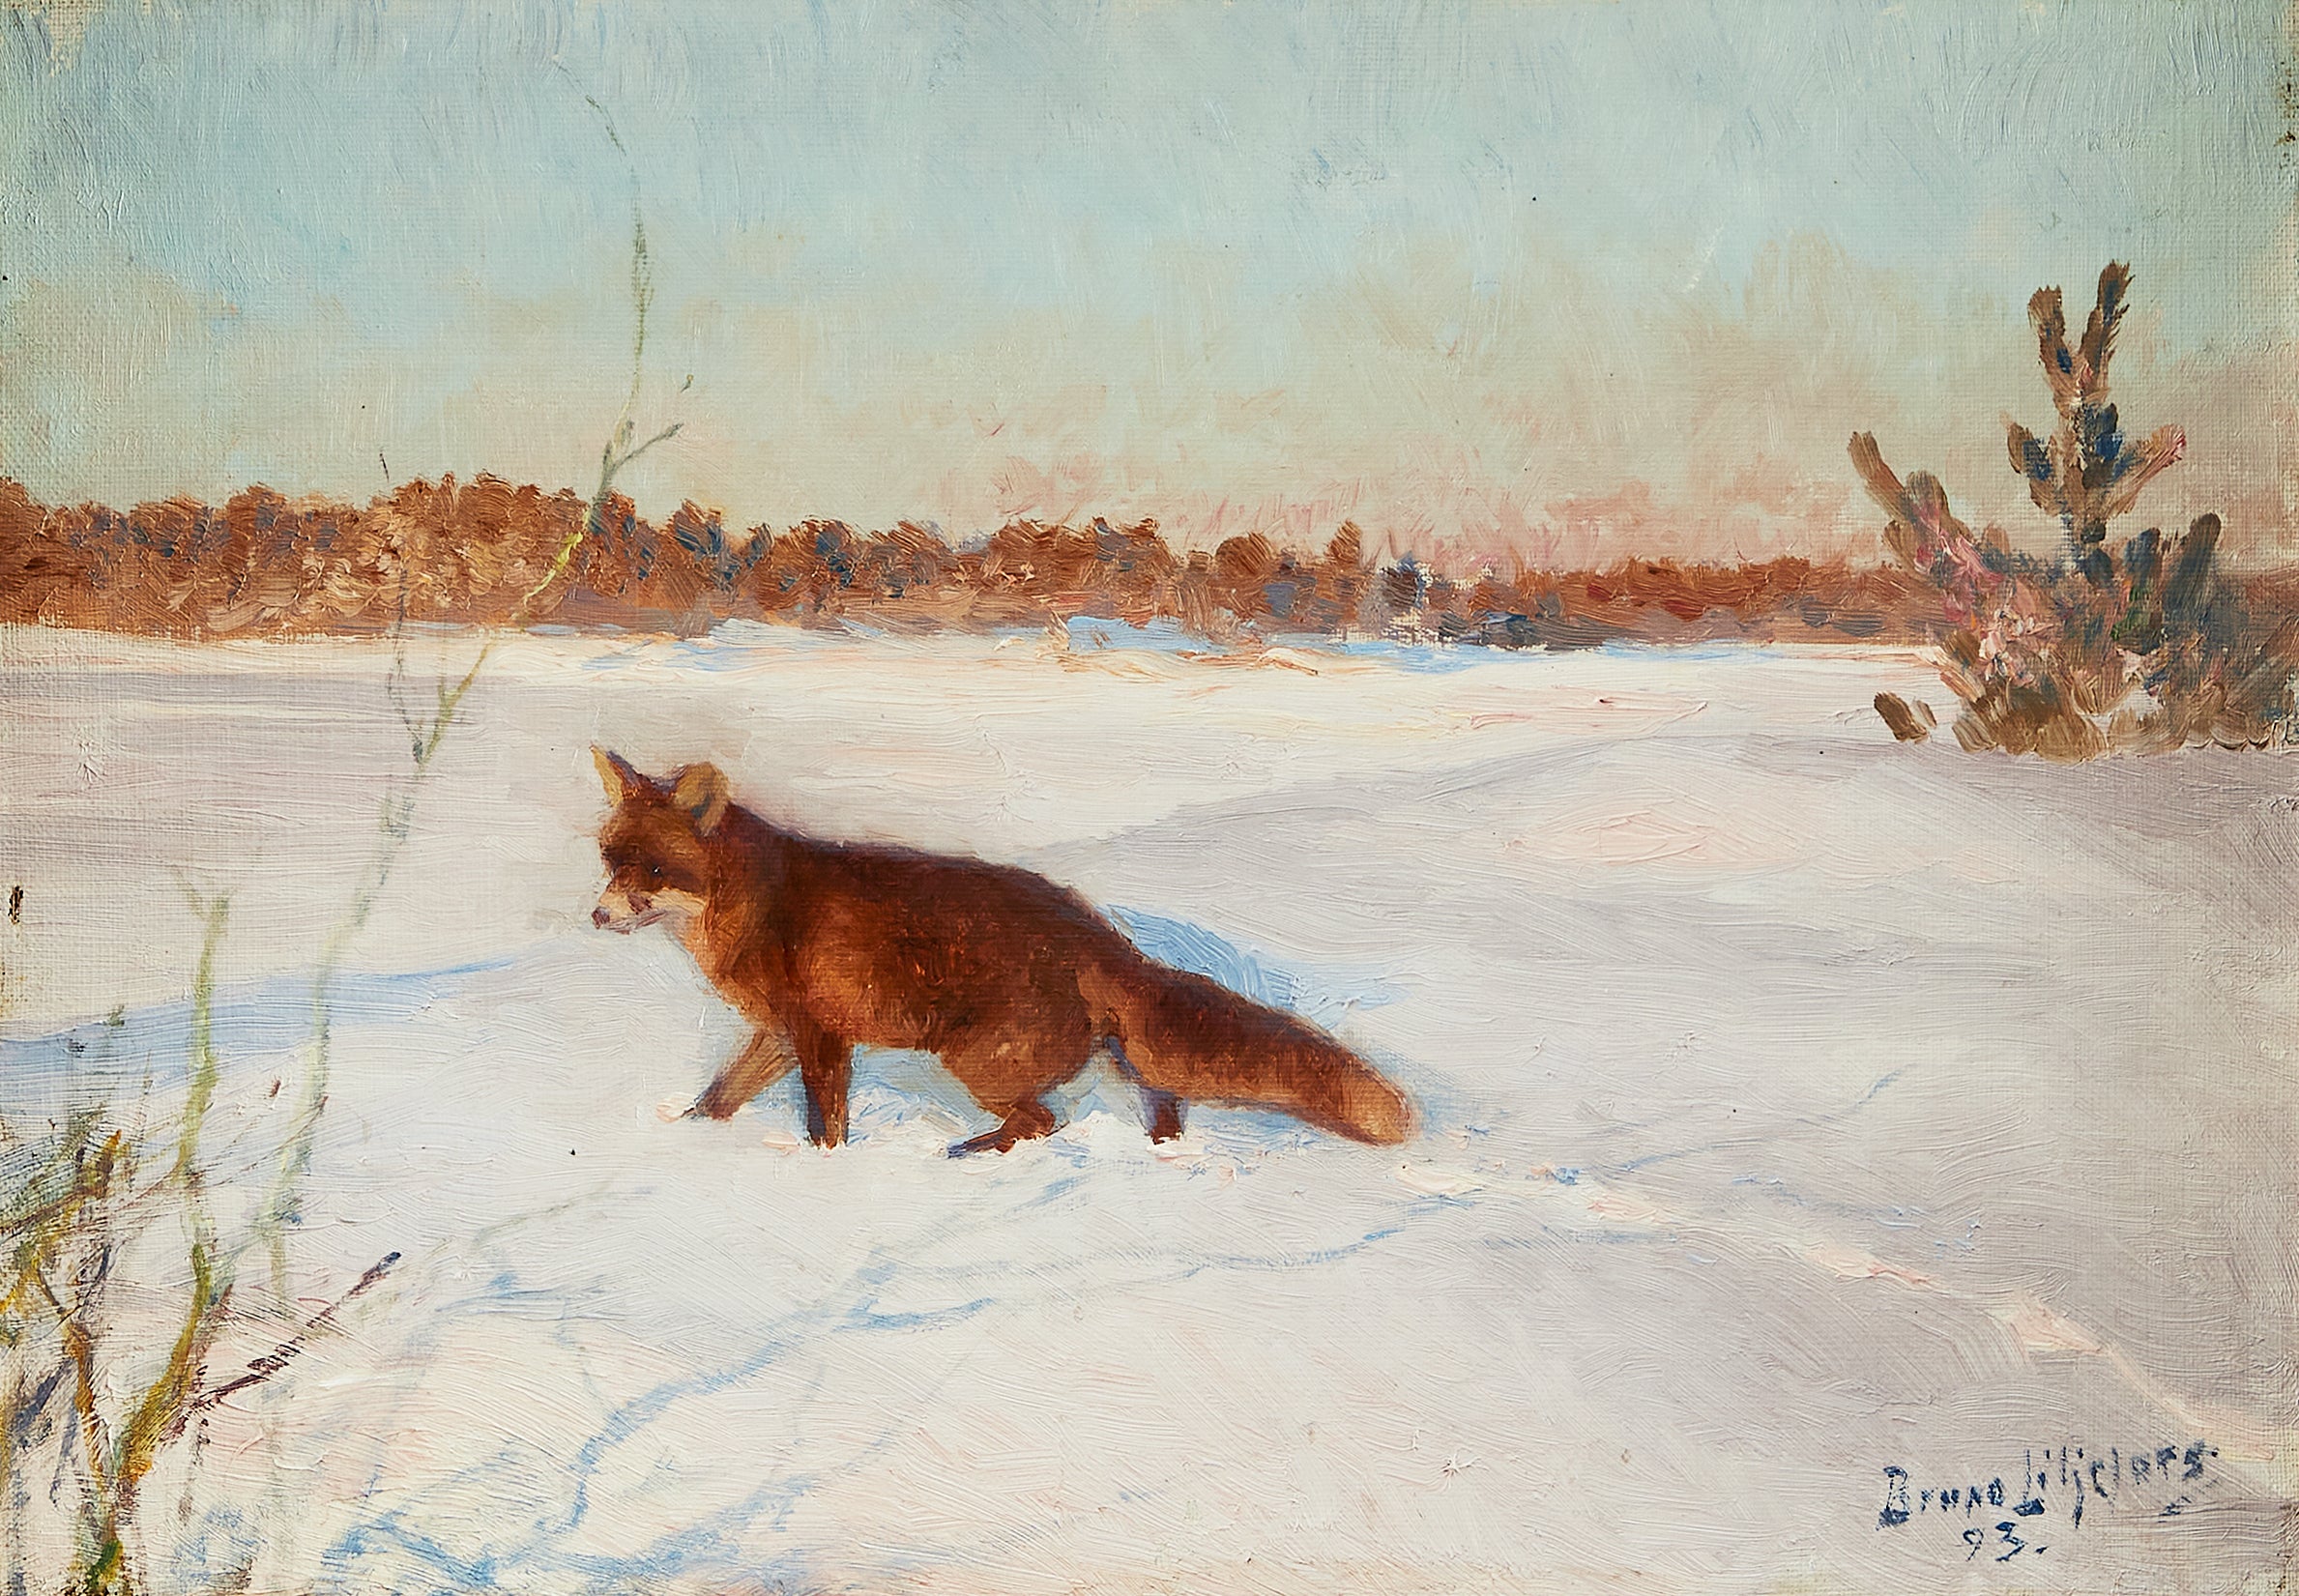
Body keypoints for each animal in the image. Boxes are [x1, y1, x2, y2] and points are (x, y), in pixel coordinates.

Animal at [588, 748, 1414, 1155]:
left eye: (653, 870)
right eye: (609, 858)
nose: (595, 915)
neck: (752, 908)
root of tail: (1096, 930)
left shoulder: (821, 1036)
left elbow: (825, 1125)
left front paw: (828, 1176)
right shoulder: (778, 1034)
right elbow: (717, 1098)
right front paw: (684, 1141)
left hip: (977, 1062)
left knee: (1044, 1120)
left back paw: (976, 1151)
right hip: (1091, 1053)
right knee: (1158, 1089)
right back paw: (1161, 1148)